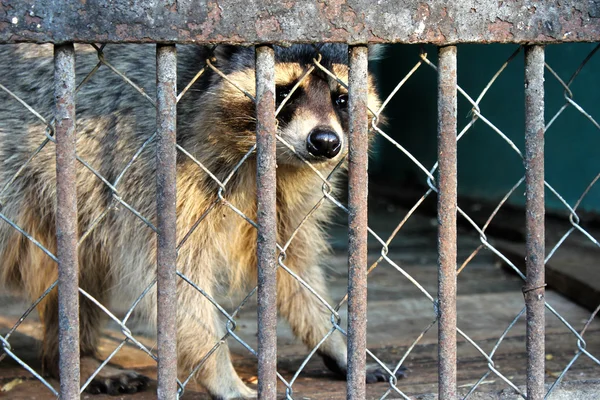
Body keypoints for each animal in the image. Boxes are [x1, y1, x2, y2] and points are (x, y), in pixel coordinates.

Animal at [1, 42, 398, 398]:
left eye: (342, 98)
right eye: (284, 92)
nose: (326, 142)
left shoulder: (289, 195)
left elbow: (292, 265)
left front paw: (332, 339)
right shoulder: (157, 170)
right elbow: (173, 276)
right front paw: (219, 371)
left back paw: (71, 357)